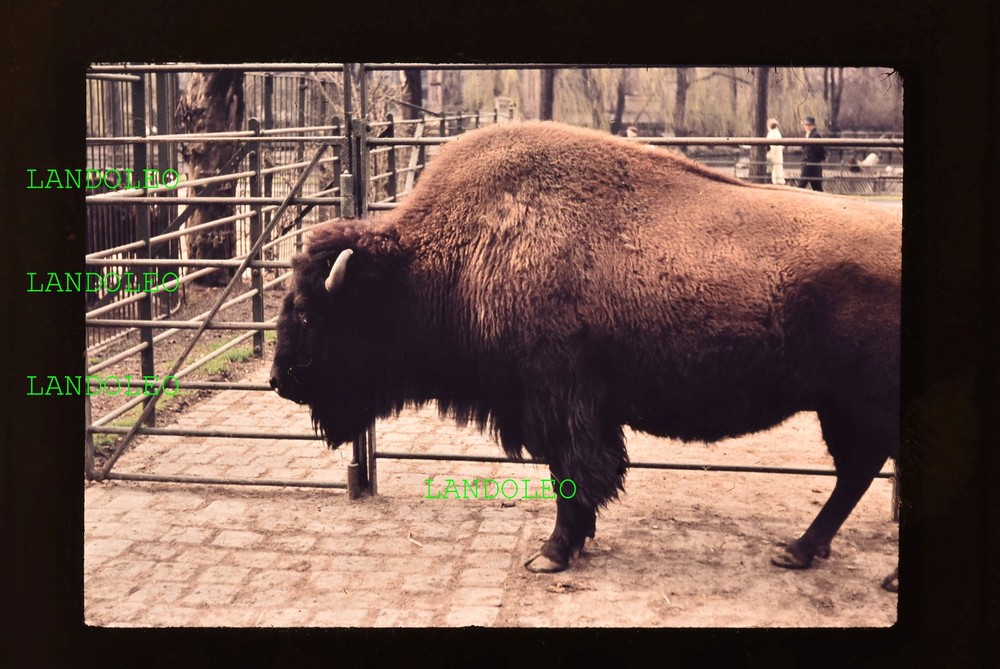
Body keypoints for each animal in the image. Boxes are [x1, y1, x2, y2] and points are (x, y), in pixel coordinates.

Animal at [270, 121, 900, 582]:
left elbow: (573, 475)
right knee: (857, 472)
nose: (279, 380)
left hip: (860, 407)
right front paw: (573, 546)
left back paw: (828, 559)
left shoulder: (558, 402)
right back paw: (800, 551)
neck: (444, 257)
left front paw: (550, 554)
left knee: (860, 470)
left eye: (307, 312)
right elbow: (582, 475)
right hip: (842, 409)